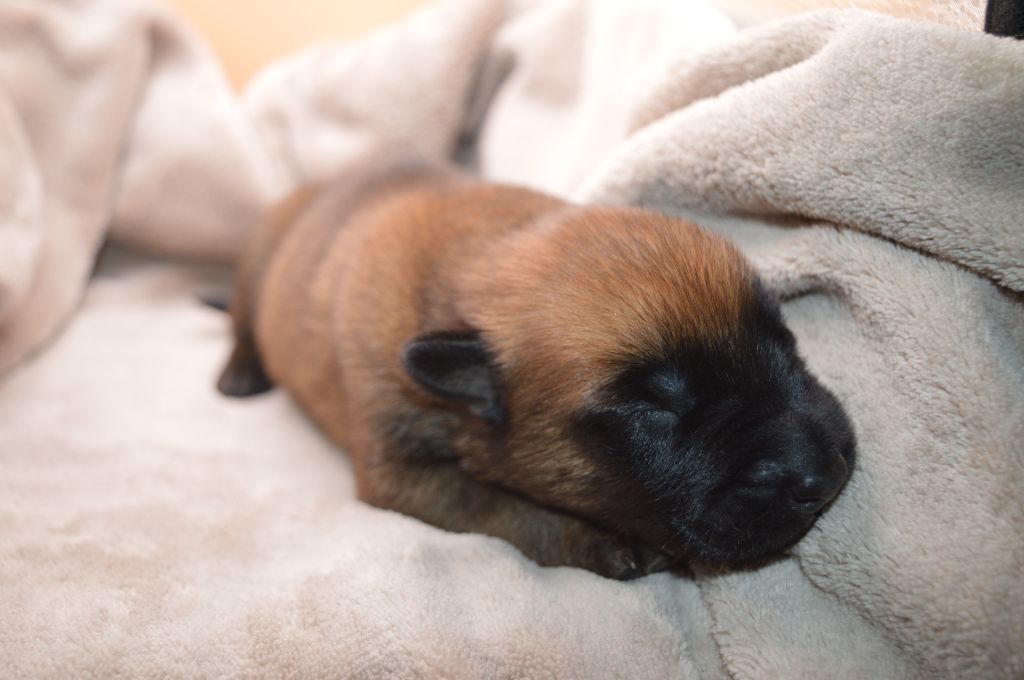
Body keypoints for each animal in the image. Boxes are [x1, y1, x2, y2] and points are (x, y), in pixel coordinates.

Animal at [217, 161, 855, 579]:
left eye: (784, 341)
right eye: (655, 408)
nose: (824, 474)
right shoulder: (400, 472)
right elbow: (504, 510)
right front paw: (598, 541)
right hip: (255, 265)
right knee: (242, 323)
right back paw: (239, 375)